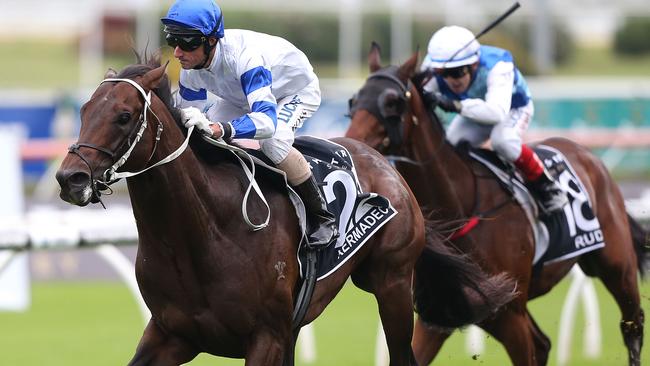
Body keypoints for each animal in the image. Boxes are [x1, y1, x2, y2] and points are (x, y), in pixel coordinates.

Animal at [54, 55, 512, 364]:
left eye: (124, 115)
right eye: (84, 110)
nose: (69, 178)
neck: (205, 232)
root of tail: (385, 163)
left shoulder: (266, 337)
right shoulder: (171, 334)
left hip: (393, 282)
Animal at [342, 45, 644, 366]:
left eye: (393, 102)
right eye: (355, 100)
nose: (352, 143)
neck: (461, 204)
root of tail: (588, 156)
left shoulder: (510, 314)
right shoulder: (441, 314)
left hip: (616, 264)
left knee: (632, 323)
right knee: (543, 343)